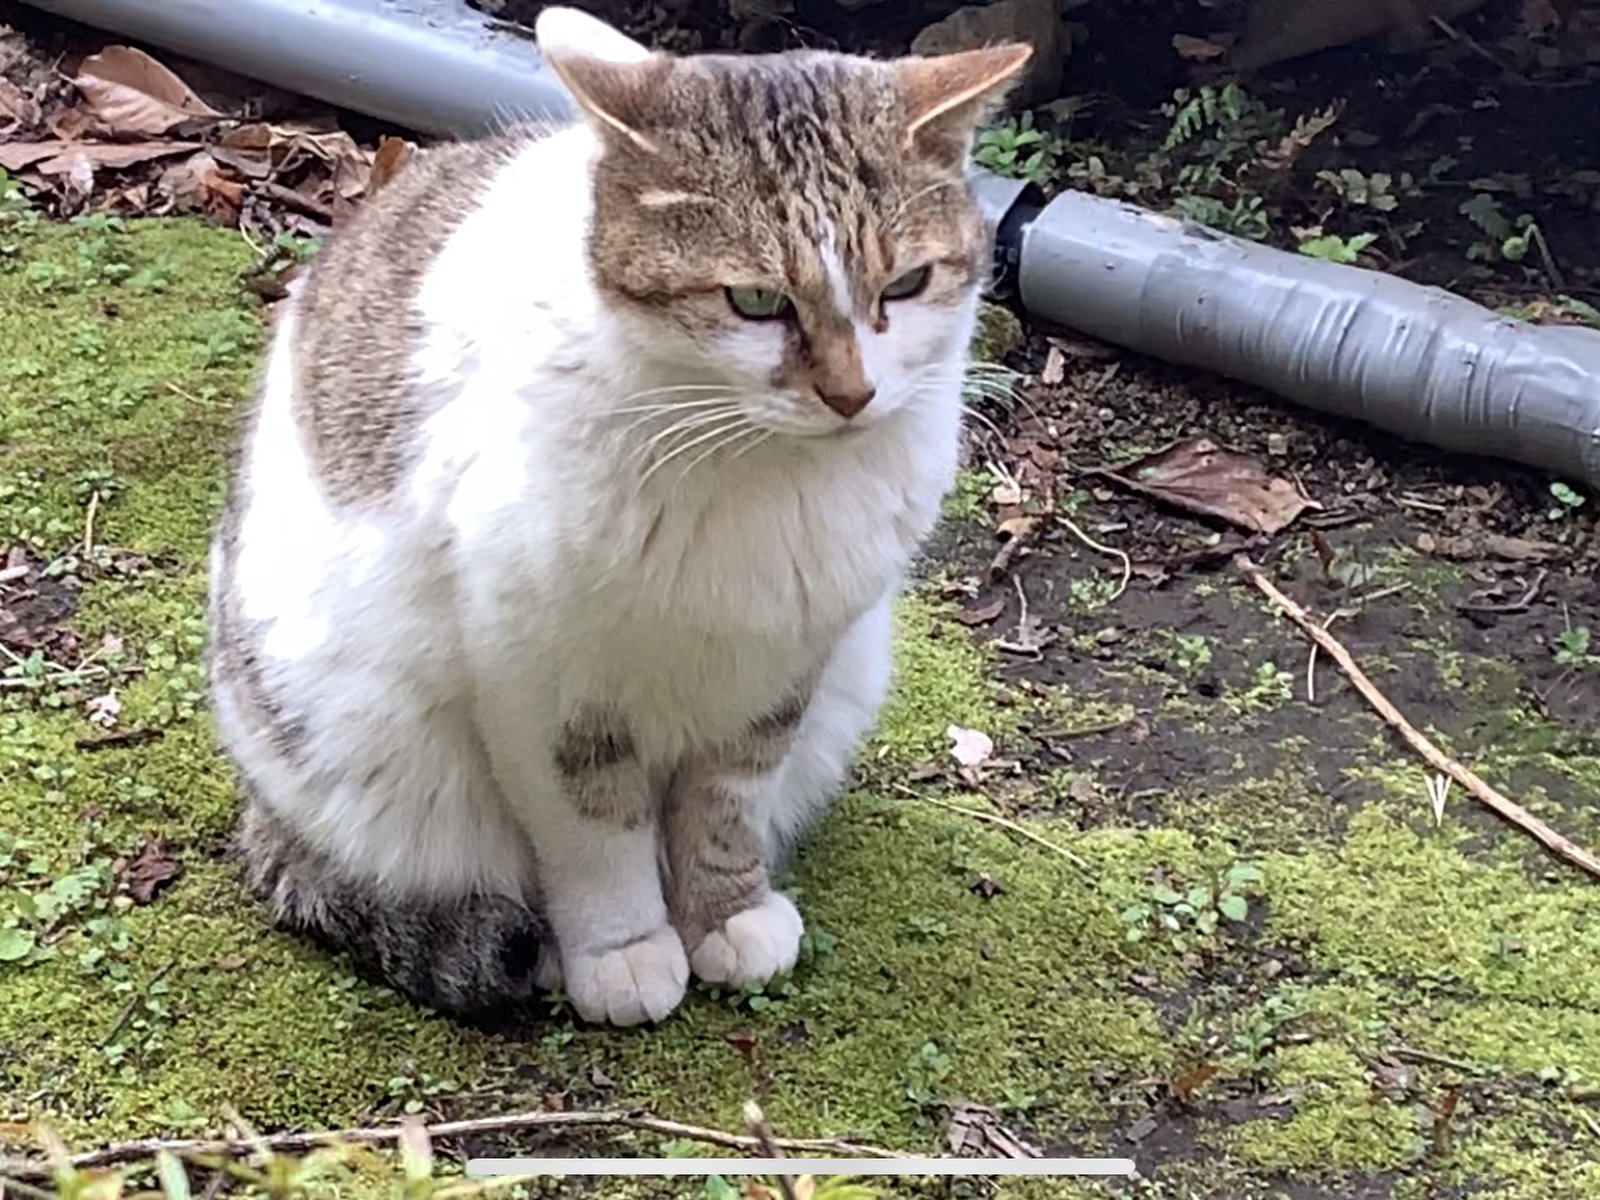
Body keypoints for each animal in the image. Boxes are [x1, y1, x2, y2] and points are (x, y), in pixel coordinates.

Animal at [206, 4, 1030, 1030]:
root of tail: (259, 804)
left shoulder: (783, 666)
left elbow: (726, 804)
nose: (852, 395)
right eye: (756, 300)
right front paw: (623, 949)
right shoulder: (540, 683)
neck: (760, 469)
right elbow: (595, 833)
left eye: (907, 285)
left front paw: (726, 912)